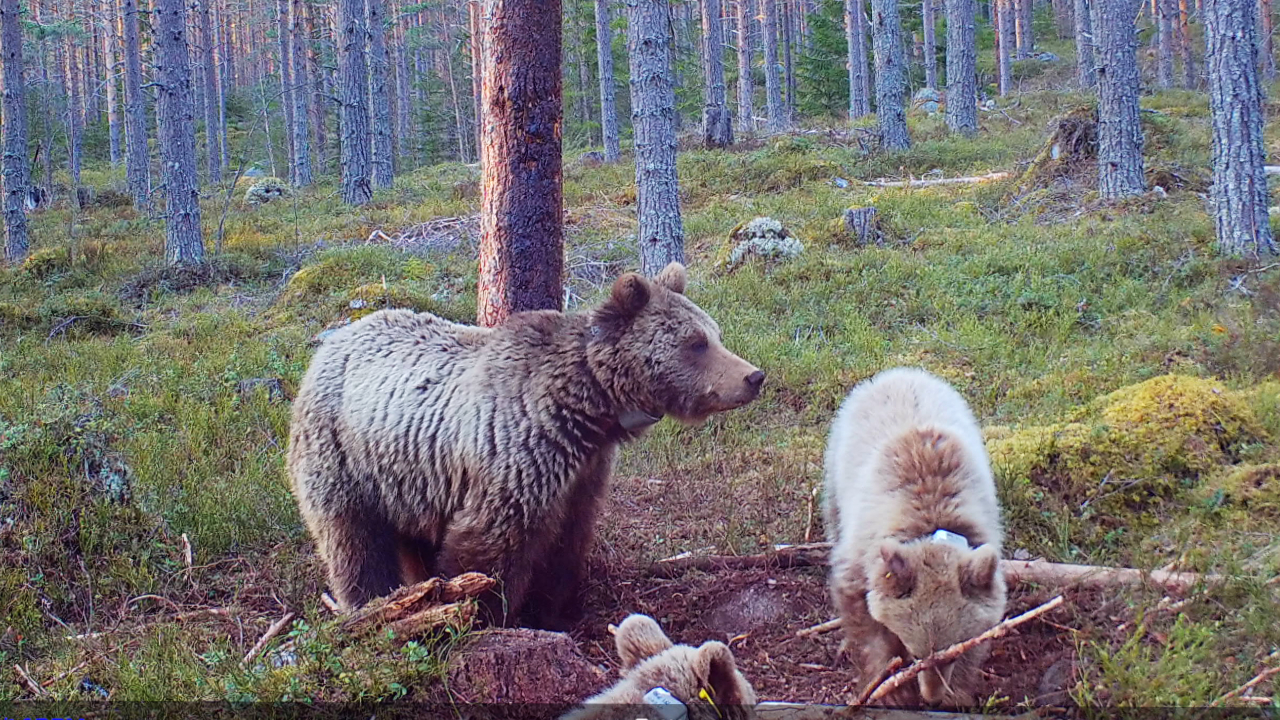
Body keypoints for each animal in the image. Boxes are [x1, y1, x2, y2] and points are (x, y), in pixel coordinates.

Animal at [286, 262, 765, 629]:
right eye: (696, 343)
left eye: (714, 333)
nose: (753, 376)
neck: (585, 407)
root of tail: (330, 345)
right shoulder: (517, 456)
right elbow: (488, 547)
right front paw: (485, 613)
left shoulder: (583, 471)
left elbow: (565, 542)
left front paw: (552, 610)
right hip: (342, 456)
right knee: (353, 539)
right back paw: (369, 602)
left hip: (405, 475)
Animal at [822, 367, 1006, 708]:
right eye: (916, 653)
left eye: (950, 654)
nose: (931, 696)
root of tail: (899, 372)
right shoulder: (862, 554)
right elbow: (864, 621)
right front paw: (889, 688)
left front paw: (956, 692)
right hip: (836, 465)